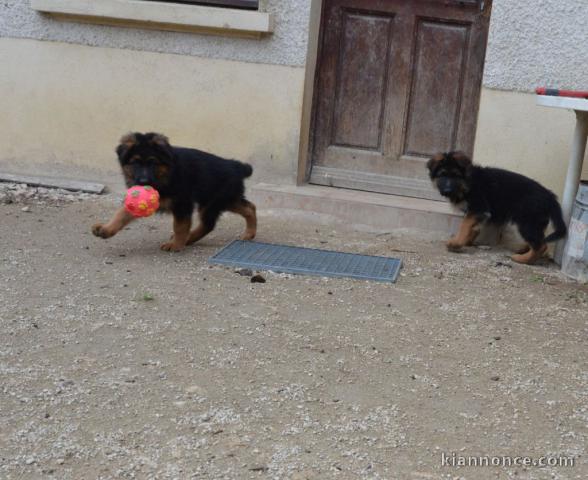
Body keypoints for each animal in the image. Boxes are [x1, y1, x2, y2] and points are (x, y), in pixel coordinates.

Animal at [92, 132, 258, 251]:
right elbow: (121, 214)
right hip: (224, 199)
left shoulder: (182, 202)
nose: (143, 182)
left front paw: (176, 245)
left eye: (152, 162)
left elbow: (180, 226)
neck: (166, 174)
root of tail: (236, 166)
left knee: (208, 224)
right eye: (135, 163)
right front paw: (106, 229)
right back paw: (249, 233)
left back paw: (187, 239)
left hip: (213, 201)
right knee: (250, 207)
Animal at [424, 152, 568, 264]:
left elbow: (465, 225)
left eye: (455, 175)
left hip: (527, 222)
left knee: (541, 245)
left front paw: (456, 243)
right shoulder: (479, 213)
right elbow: (474, 227)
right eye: (442, 175)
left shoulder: (478, 208)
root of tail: (550, 196)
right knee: (539, 239)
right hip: (536, 222)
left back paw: (523, 259)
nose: (447, 191)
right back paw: (523, 250)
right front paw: (467, 241)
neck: (468, 182)